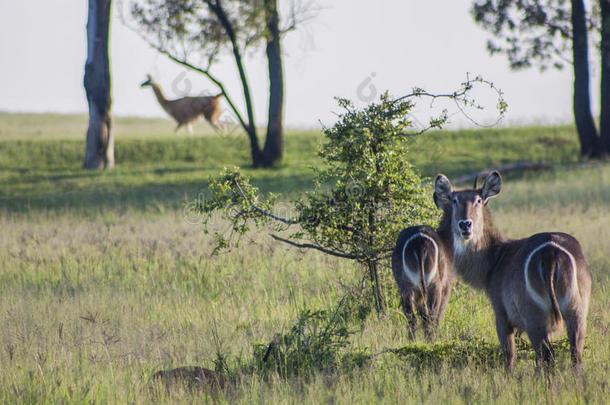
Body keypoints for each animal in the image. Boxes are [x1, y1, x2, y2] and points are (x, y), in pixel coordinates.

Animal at [392, 193, 454, 338]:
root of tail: (419, 240)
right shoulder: (446, 287)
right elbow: (438, 316)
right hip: (433, 285)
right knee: (431, 316)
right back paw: (431, 340)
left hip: (406, 286)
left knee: (412, 317)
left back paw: (412, 340)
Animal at [432, 171, 588, 372]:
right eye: (454, 200)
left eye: (478, 200)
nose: (465, 224)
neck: (495, 258)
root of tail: (551, 252)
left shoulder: (501, 315)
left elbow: (509, 356)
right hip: (576, 309)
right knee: (575, 354)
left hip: (534, 316)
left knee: (546, 355)